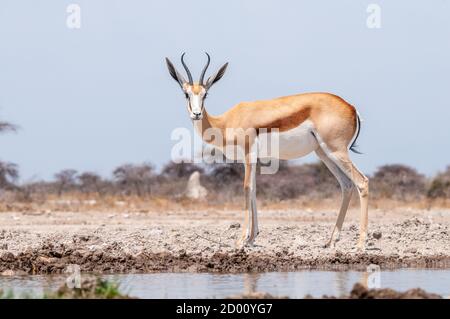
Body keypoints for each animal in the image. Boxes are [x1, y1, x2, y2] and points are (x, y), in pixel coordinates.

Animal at [165, 53, 370, 251]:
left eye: (206, 94)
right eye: (186, 94)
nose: (197, 114)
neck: (224, 123)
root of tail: (351, 107)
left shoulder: (249, 154)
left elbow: (246, 188)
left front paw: (240, 241)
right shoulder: (251, 159)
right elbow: (254, 190)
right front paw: (251, 238)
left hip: (336, 151)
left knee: (362, 182)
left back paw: (360, 244)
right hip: (324, 153)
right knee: (347, 185)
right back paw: (331, 241)